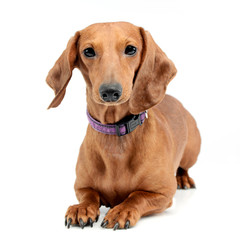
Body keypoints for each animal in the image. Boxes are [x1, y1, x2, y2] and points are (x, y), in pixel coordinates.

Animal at [46, 21, 201, 230]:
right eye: (88, 51)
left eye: (131, 49)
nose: (110, 91)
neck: (116, 136)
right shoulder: (82, 186)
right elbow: (89, 196)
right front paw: (82, 208)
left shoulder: (163, 193)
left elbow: (136, 196)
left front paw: (122, 210)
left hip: (192, 152)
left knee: (184, 167)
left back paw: (183, 177)